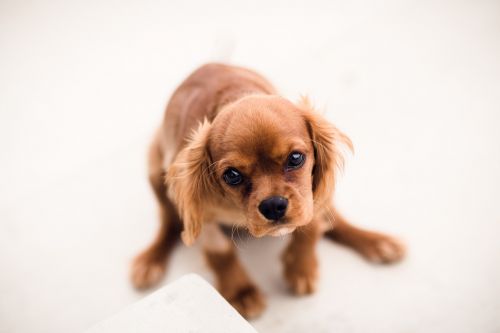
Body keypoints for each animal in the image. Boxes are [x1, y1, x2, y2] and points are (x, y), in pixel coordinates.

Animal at [131, 63, 404, 318]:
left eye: (295, 158)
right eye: (232, 175)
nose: (273, 206)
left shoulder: (308, 196)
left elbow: (310, 228)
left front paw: (300, 268)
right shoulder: (202, 214)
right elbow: (221, 251)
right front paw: (241, 292)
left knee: (334, 220)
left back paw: (378, 242)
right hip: (156, 174)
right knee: (169, 224)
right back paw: (150, 261)